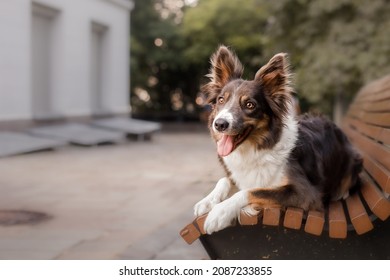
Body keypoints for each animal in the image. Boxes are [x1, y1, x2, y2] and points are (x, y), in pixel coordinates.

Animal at [194, 46, 362, 234]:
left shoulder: (304, 193)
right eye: (221, 100)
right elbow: (224, 180)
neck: (256, 148)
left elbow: (252, 191)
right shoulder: (237, 174)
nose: (219, 124)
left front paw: (220, 212)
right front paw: (207, 201)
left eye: (250, 105)